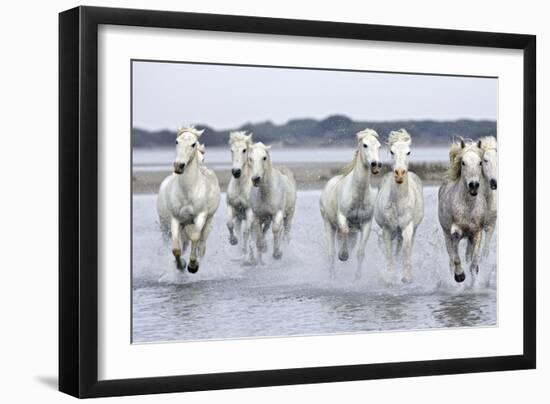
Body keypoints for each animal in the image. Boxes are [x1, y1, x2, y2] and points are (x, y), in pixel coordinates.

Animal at [156, 127, 221, 272]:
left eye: (193, 144)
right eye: (176, 141)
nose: (179, 166)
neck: (188, 191)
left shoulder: (200, 216)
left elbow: (195, 238)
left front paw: (192, 266)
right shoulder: (175, 219)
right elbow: (176, 249)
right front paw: (181, 265)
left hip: (208, 221)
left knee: (201, 245)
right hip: (166, 227)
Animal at [320, 128, 384, 280]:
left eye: (379, 146)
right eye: (365, 145)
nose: (376, 165)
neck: (358, 195)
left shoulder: (366, 223)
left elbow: (360, 252)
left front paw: (357, 278)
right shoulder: (342, 217)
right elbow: (344, 231)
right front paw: (343, 255)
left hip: (354, 233)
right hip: (329, 224)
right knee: (331, 252)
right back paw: (332, 276)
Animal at [378, 128, 424, 282]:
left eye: (408, 152)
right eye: (392, 151)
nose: (399, 174)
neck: (399, 202)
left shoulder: (407, 227)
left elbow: (406, 250)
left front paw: (406, 277)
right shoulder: (387, 229)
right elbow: (389, 254)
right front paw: (390, 275)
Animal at [440, 140, 488, 282]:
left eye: (480, 162)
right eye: (463, 162)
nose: (473, 185)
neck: (468, 207)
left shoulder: (476, 233)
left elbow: (473, 261)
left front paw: (473, 279)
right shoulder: (455, 231)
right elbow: (455, 257)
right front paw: (460, 276)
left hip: (469, 237)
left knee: (468, 255)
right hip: (446, 233)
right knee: (451, 255)